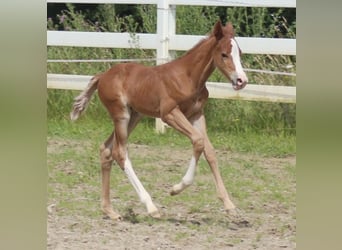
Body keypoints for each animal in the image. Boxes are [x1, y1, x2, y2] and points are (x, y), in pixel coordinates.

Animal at [71, 21, 248, 221]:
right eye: (224, 54)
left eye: (240, 53)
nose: (241, 81)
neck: (188, 77)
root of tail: (102, 76)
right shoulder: (169, 113)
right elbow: (198, 141)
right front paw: (175, 189)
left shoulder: (196, 114)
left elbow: (209, 151)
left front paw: (229, 205)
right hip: (121, 115)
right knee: (119, 152)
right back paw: (151, 207)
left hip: (135, 116)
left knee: (106, 150)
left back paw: (110, 210)